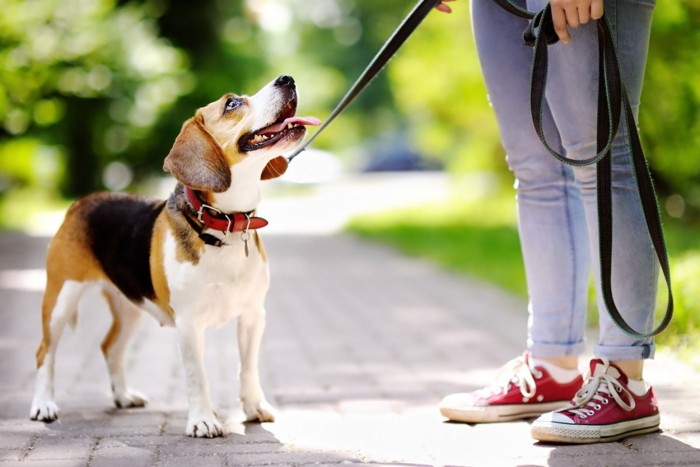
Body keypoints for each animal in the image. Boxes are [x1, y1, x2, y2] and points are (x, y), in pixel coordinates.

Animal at [29, 75, 320, 436]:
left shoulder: (253, 316)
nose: (287, 79)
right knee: (44, 352)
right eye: (232, 104)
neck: (224, 225)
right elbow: (198, 376)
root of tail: (82, 201)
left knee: (110, 348)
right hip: (60, 298)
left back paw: (123, 396)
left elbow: (248, 368)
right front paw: (204, 420)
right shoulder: (189, 323)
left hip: (130, 307)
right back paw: (43, 405)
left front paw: (254, 407)